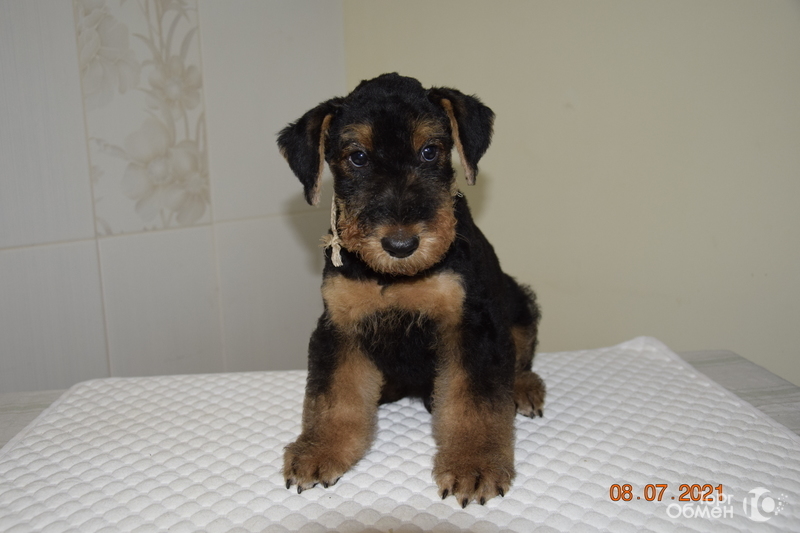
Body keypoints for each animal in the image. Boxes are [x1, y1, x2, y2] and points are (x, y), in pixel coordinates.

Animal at [277, 73, 545, 507]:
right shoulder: (339, 326)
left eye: (429, 151)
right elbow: (333, 397)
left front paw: (474, 465)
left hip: (516, 301)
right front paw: (319, 451)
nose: (401, 245)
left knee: (520, 355)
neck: (396, 277)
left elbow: (476, 401)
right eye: (357, 157)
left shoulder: (473, 326)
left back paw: (524, 388)